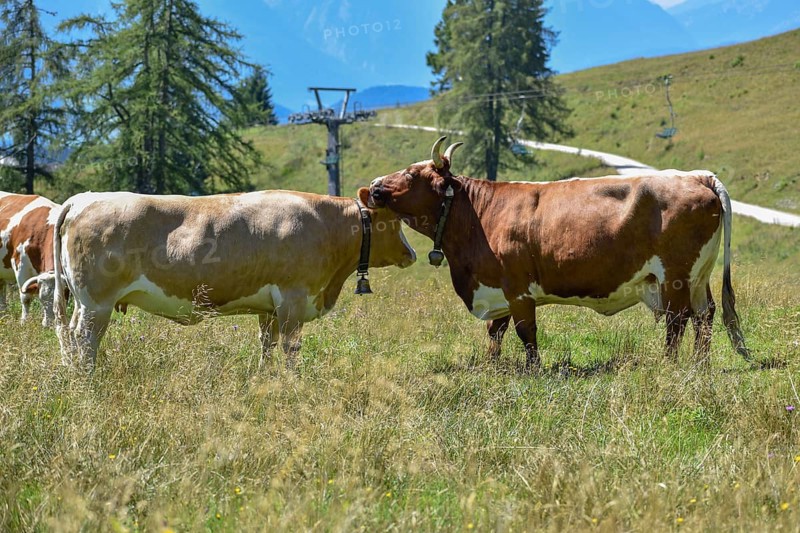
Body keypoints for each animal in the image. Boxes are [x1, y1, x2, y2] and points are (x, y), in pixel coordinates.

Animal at [0, 192, 61, 326]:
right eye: (42, 299)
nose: (49, 325)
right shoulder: (20, 265)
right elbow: (26, 297)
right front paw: (24, 321)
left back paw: (3, 315)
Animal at [53, 187, 416, 370]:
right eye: (394, 221)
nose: (411, 254)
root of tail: (83, 198)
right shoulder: (293, 300)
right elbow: (291, 348)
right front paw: (293, 382)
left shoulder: (269, 308)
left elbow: (267, 345)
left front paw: (263, 379)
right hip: (96, 302)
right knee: (85, 339)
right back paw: (88, 379)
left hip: (83, 302)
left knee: (69, 333)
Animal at [368, 137, 750, 371]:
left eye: (411, 173)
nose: (373, 185)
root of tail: (697, 176)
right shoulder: (497, 289)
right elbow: (495, 331)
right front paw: (493, 367)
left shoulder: (518, 289)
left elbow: (526, 332)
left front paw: (533, 370)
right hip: (697, 276)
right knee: (704, 314)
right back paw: (699, 365)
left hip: (675, 276)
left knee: (678, 319)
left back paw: (669, 365)